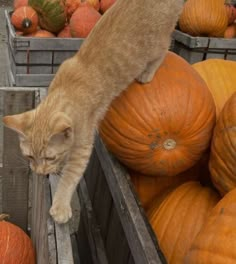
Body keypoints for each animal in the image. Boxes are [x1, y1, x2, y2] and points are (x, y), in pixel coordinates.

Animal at [2, 0, 184, 224]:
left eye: (49, 158)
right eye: (29, 157)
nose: (39, 173)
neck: (64, 90)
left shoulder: (83, 146)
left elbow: (70, 175)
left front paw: (61, 206)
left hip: (158, 43)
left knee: (165, 48)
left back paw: (147, 73)